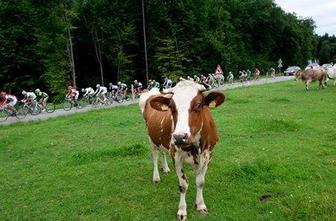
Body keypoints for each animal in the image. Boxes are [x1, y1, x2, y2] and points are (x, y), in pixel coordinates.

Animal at [139, 80, 226, 220]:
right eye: (171, 107)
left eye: (199, 105)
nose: (180, 137)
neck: (195, 147)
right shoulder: (176, 156)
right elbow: (183, 185)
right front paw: (182, 211)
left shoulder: (208, 155)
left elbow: (200, 182)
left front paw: (200, 205)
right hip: (151, 138)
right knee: (155, 156)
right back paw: (156, 177)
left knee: (163, 152)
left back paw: (166, 168)